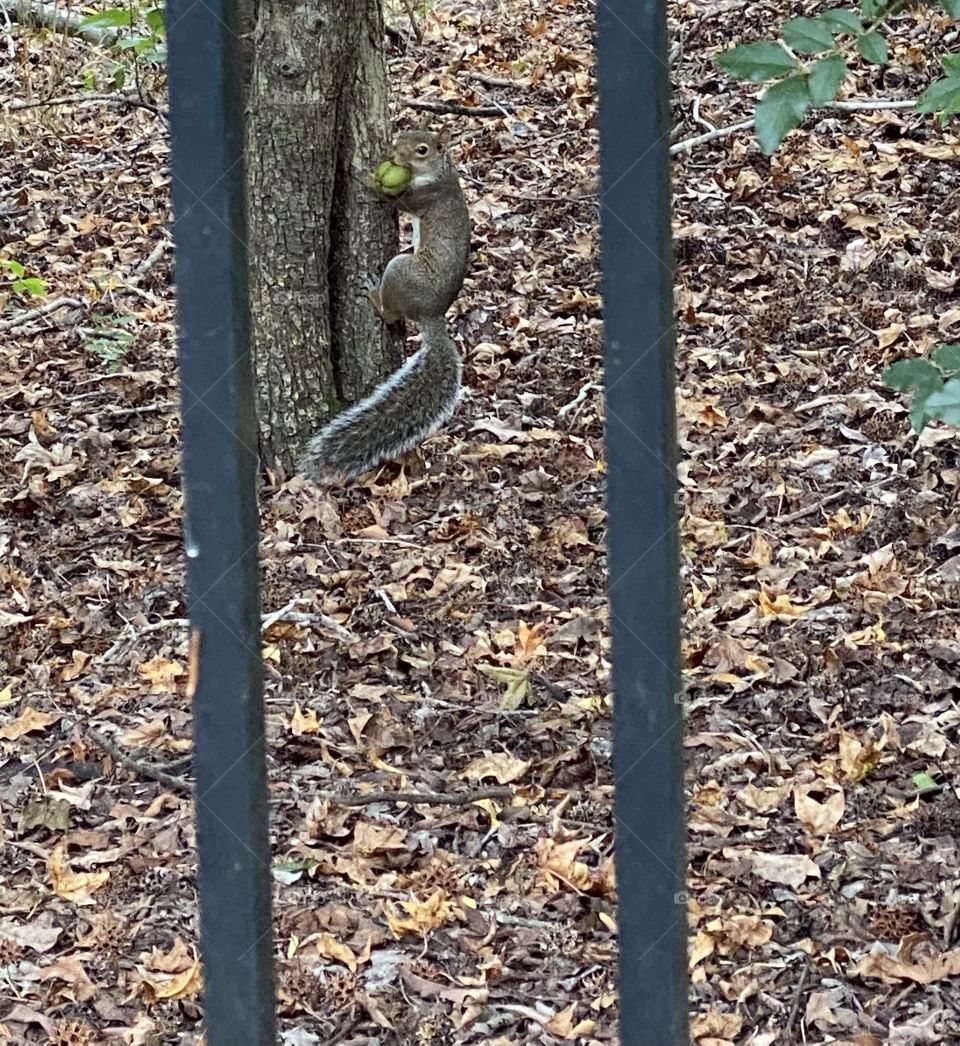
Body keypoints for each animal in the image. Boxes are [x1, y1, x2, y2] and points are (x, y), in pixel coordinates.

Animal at [299, 128, 471, 484]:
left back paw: (373, 296)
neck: (439, 170)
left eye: (421, 150)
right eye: (406, 131)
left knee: (391, 314)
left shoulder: (422, 196)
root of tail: (432, 314)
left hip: (400, 269)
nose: (392, 153)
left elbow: (391, 197)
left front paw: (362, 173)